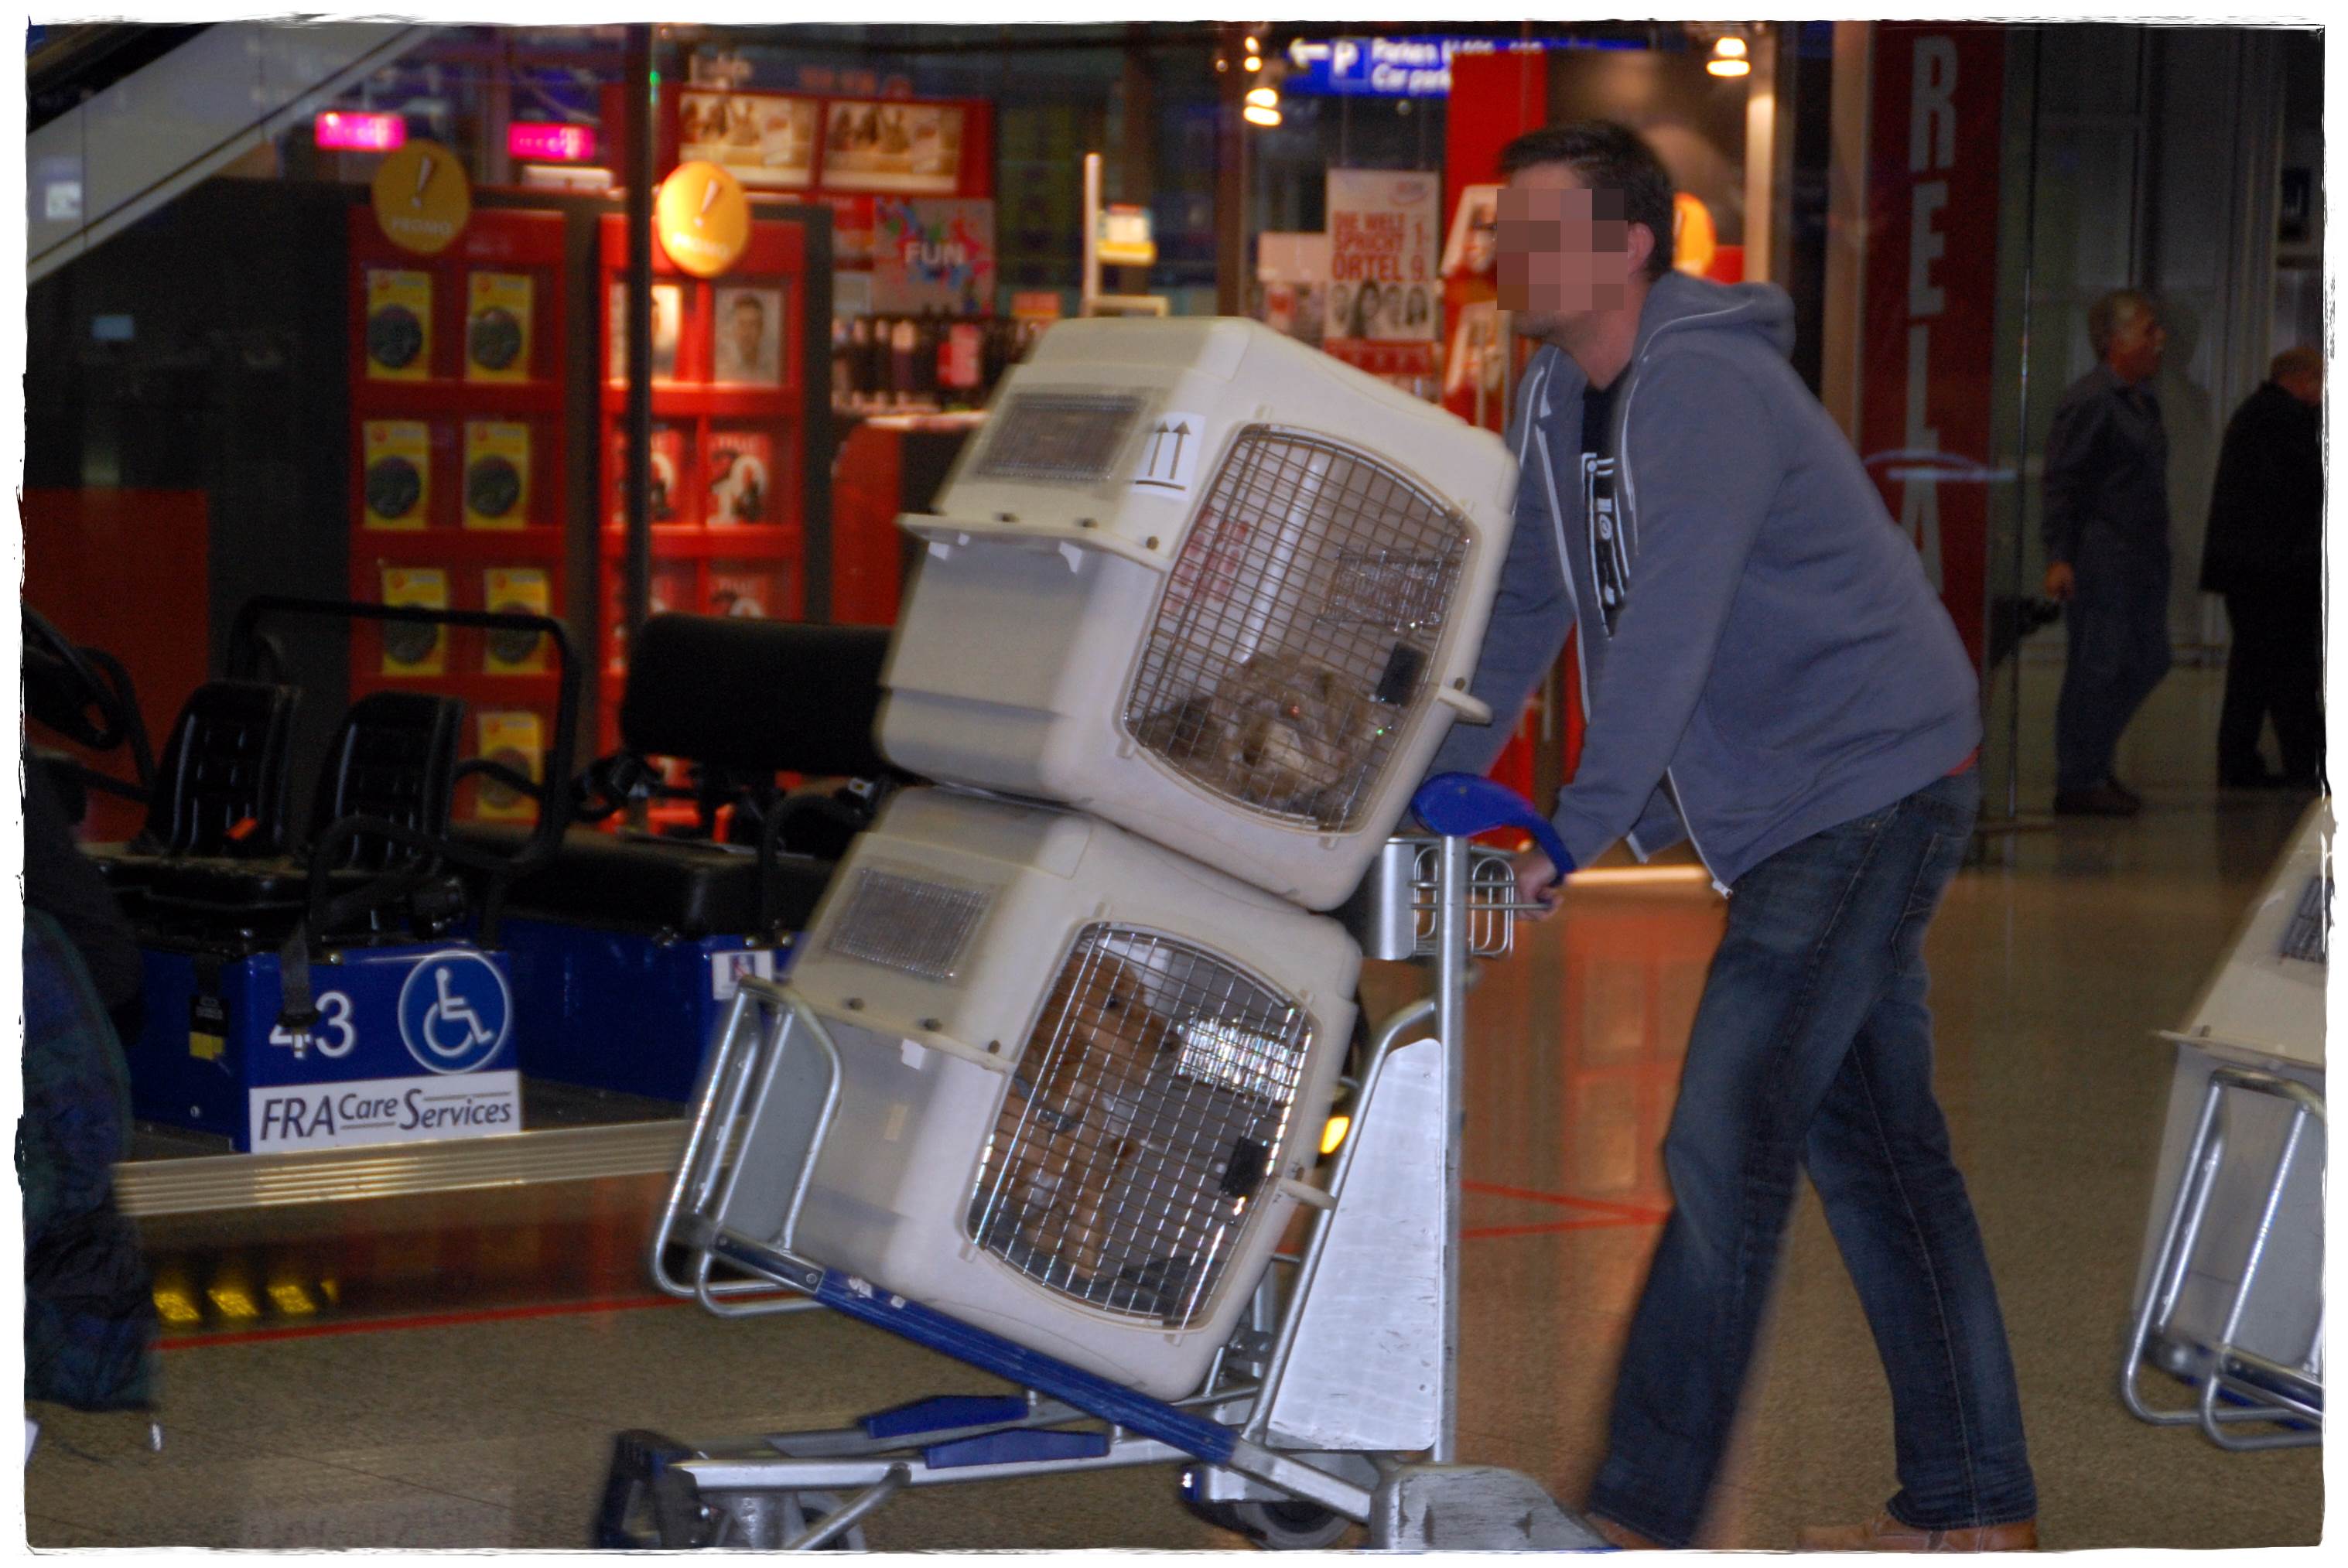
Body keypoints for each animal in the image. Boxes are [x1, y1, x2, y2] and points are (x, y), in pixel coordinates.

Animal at [997, 950, 1174, 1284]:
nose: (1176, 1042)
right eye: (1113, 1002)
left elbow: (1082, 1263)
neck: (1056, 1116)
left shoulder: (1085, 1198)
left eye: (1143, 996)